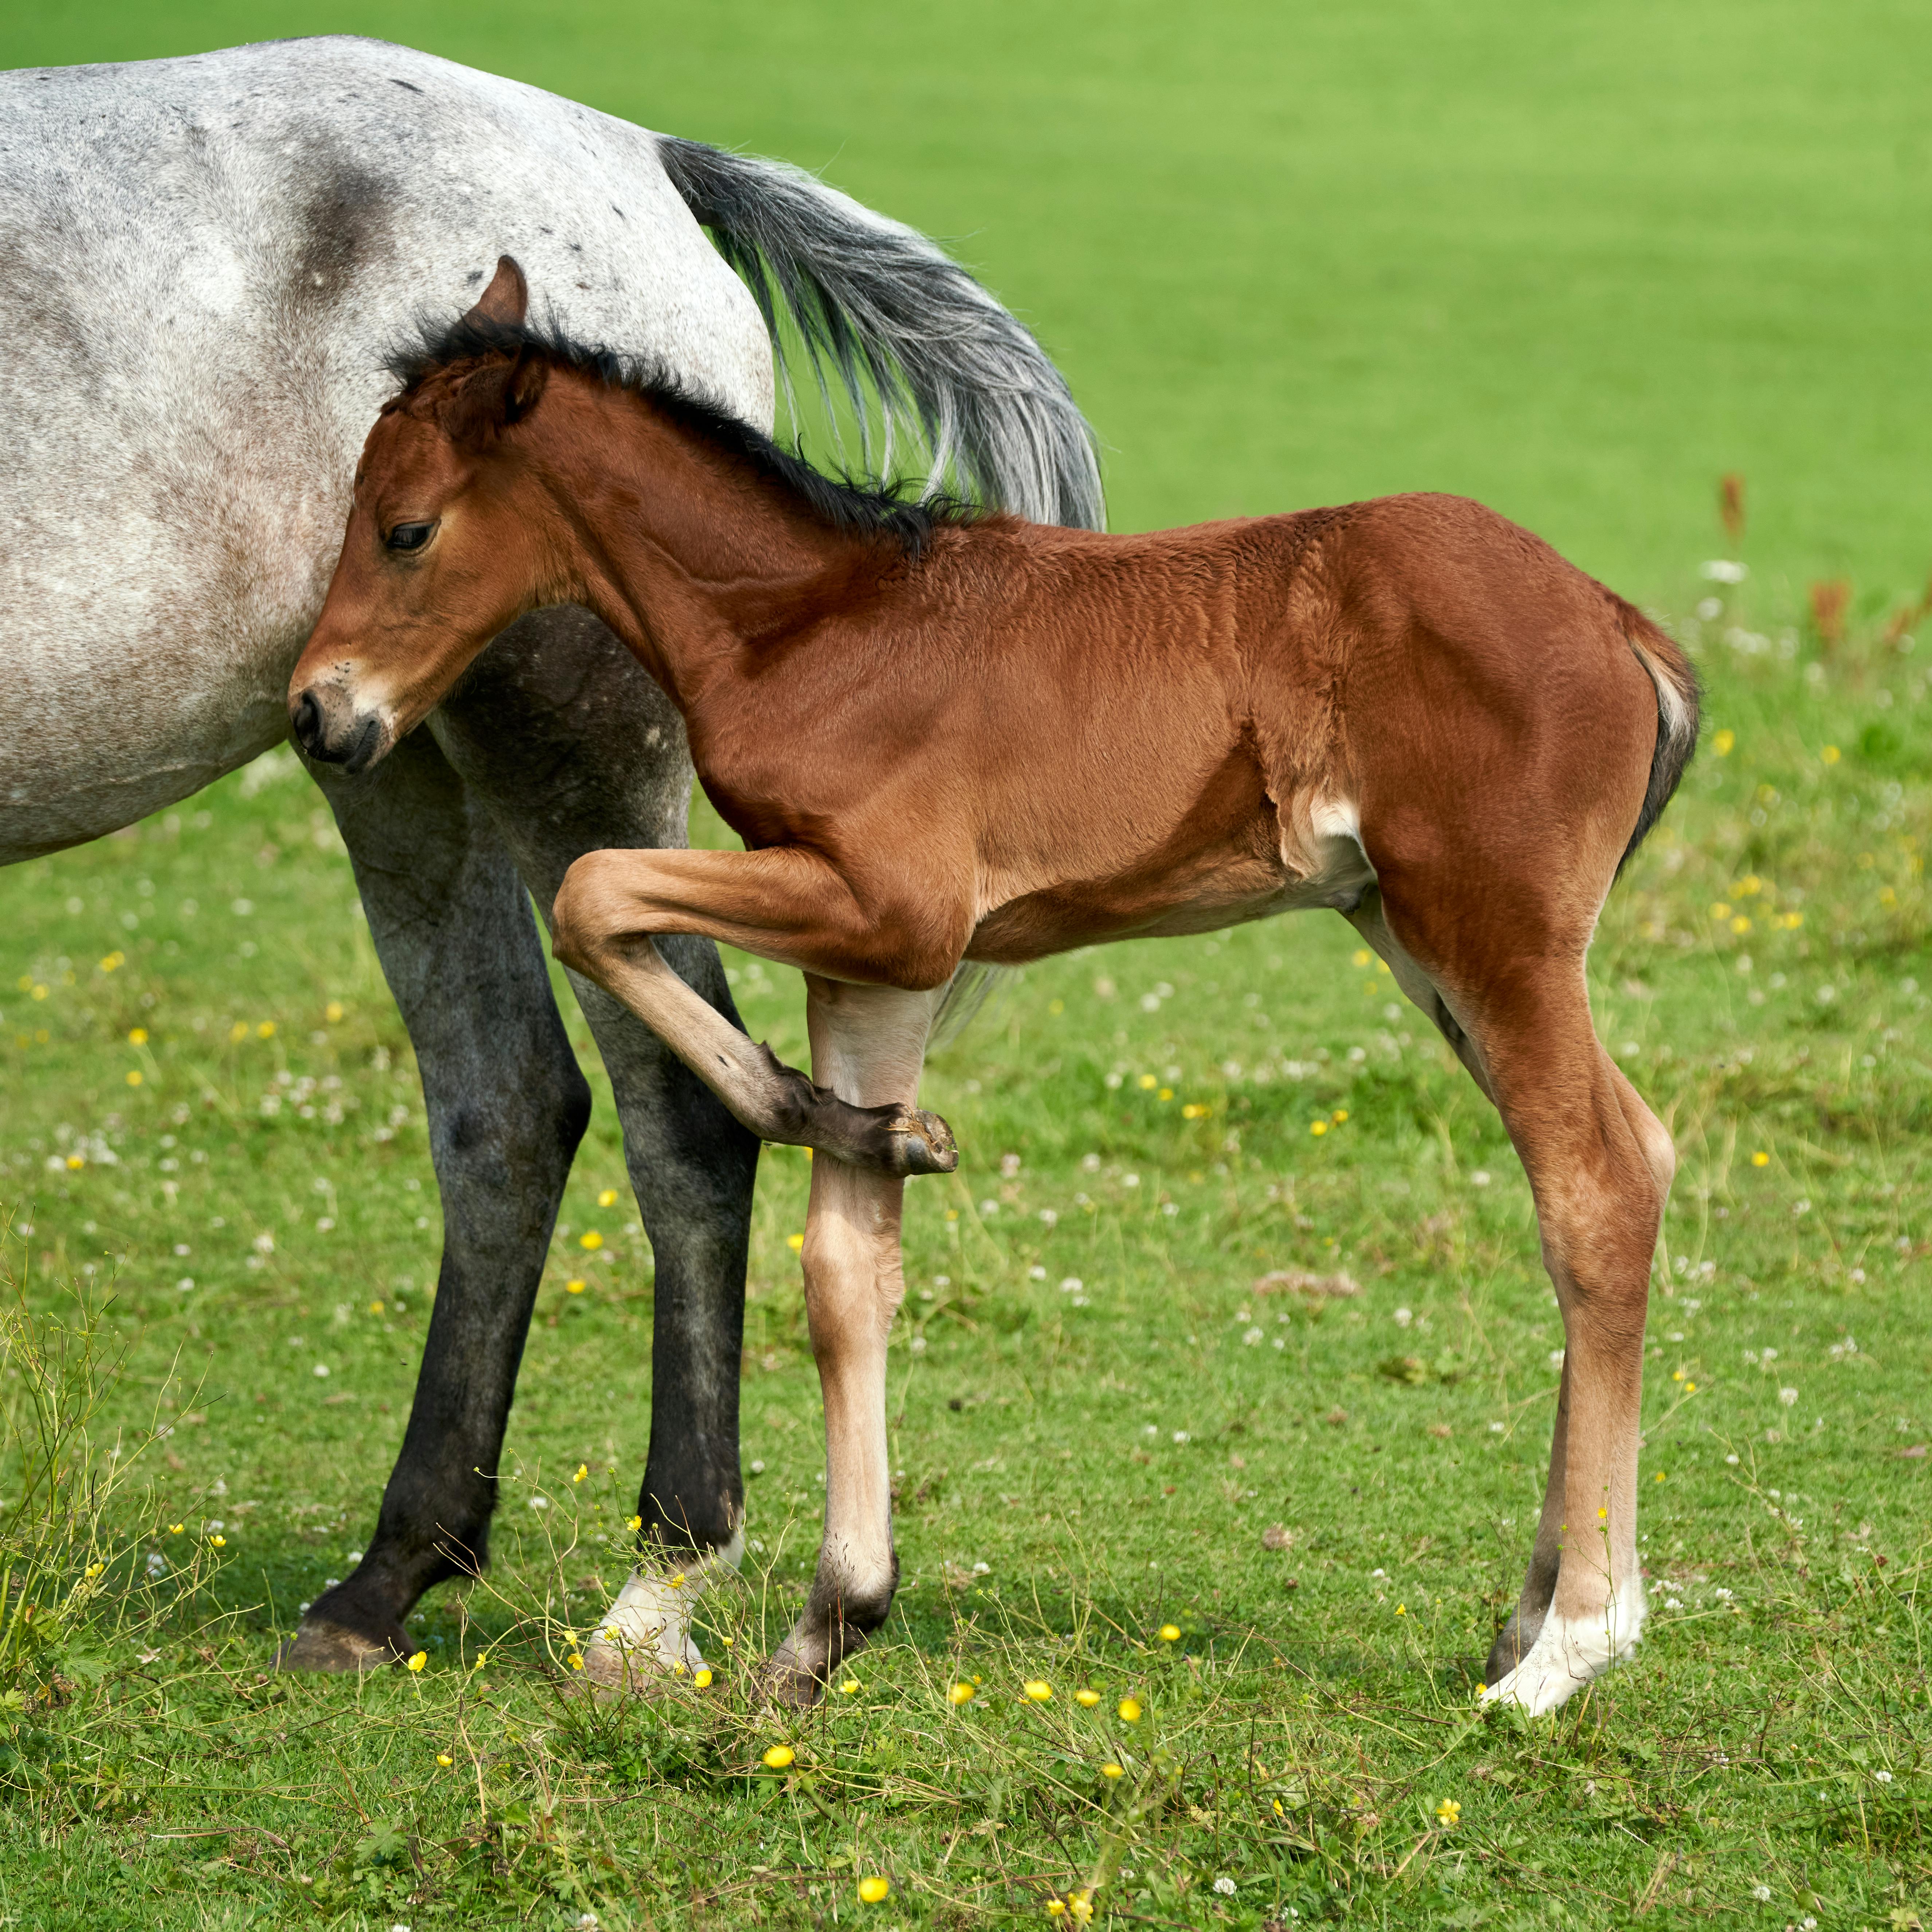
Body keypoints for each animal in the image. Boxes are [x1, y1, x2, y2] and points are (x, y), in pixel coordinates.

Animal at [2, 37, 1099, 1674]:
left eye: (404, 524)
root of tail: (637, 153)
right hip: (390, 748)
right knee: (509, 1102)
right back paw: (390, 1577)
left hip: (550, 738)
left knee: (671, 1106)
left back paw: (660, 1582)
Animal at [289, 257, 1698, 1713]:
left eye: (404, 529)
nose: (317, 714)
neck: (807, 628)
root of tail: (1617, 621)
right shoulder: (869, 965)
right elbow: (845, 1270)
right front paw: (828, 1622)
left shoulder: (895, 911)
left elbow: (592, 892)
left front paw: (821, 1115)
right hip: (1420, 941)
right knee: (1635, 1154)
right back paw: (1533, 1616)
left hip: (1491, 932)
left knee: (1593, 1188)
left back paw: (1569, 1647)